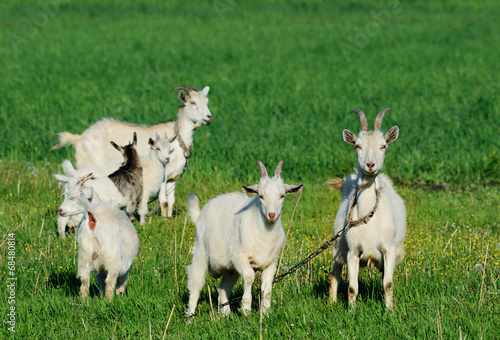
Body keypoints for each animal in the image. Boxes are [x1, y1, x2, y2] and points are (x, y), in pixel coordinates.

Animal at [51, 85, 212, 218]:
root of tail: (80, 137)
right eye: (193, 103)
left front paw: (168, 219)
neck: (178, 139)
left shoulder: (173, 178)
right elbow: (164, 202)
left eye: (207, 102)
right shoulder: (163, 176)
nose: (209, 117)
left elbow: (171, 202)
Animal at [58, 174, 141, 302]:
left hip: (85, 254)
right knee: (110, 280)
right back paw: (109, 301)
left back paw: (85, 301)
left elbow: (99, 282)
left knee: (84, 280)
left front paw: (99, 296)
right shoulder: (124, 264)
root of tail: (92, 216)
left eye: (73, 197)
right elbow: (121, 280)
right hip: (112, 257)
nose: (60, 210)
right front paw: (119, 294)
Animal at [184, 160, 300, 316]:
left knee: (223, 288)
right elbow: (250, 277)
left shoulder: (271, 263)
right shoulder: (240, 257)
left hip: (230, 269)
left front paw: (265, 314)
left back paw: (226, 314)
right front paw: (246, 310)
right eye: (260, 195)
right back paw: (190, 317)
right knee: (195, 286)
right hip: (200, 253)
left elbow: (267, 289)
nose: (272, 215)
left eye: (282, 195)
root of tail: (199, 214)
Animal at [328, 107, 406, 310]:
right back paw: (331, 303)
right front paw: (351, 312)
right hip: (338, 248)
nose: (370, 165)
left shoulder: (389, 250)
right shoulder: (353, 252)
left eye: (383, 146)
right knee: (335, 273)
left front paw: (389, 311)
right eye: (357, 146)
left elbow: (388, 284)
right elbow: (352, 288)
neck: (368, 218)